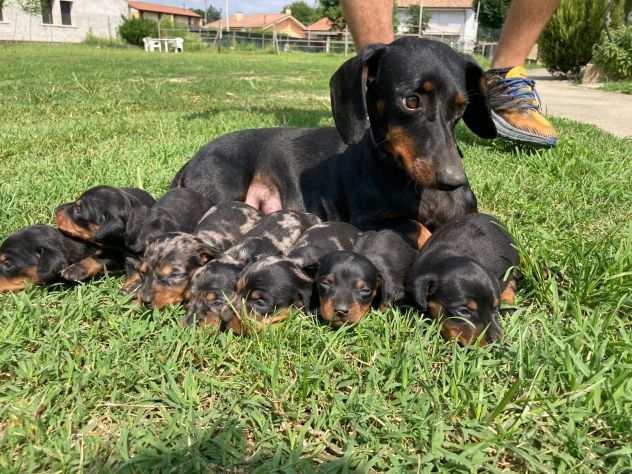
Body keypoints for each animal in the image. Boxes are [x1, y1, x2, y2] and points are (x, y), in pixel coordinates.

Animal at [170, 38, 492, 241]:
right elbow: (417, 227)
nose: (453, 180)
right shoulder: (367, 219)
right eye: (411, 101)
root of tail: (192, 161)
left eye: (461, 107)